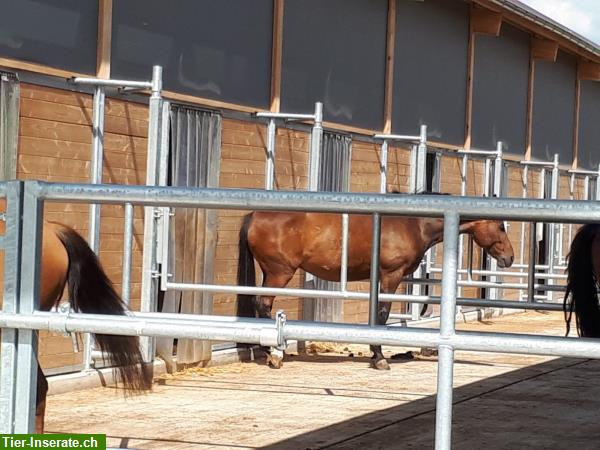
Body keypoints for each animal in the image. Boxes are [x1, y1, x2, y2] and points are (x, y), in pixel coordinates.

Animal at [238, 207, 516, 370]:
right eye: (500, 226)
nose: (509, 258)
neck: (412, 224)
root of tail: (256, 215)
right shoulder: (390, 276)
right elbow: (382, 314)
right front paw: (380, 357)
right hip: (279, 273)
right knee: (263, 305)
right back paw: (275, 353)